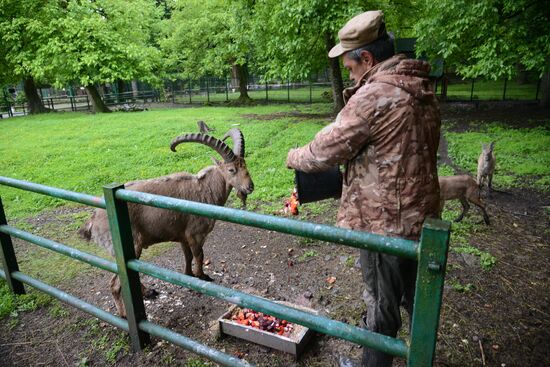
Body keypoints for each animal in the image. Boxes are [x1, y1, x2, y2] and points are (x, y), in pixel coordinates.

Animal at [78, 130, 254, 320]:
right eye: (231, 169)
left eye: (245, 164)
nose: (250, 187)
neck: (207, 189)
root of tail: (94, 219)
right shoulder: (196, 234)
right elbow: (199, 255)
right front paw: (203, 277)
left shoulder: (183, 236)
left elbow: (188, 256)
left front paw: (188, 275)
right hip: (129, 246)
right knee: (115, 284)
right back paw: (124, 314)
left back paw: (148, 292)